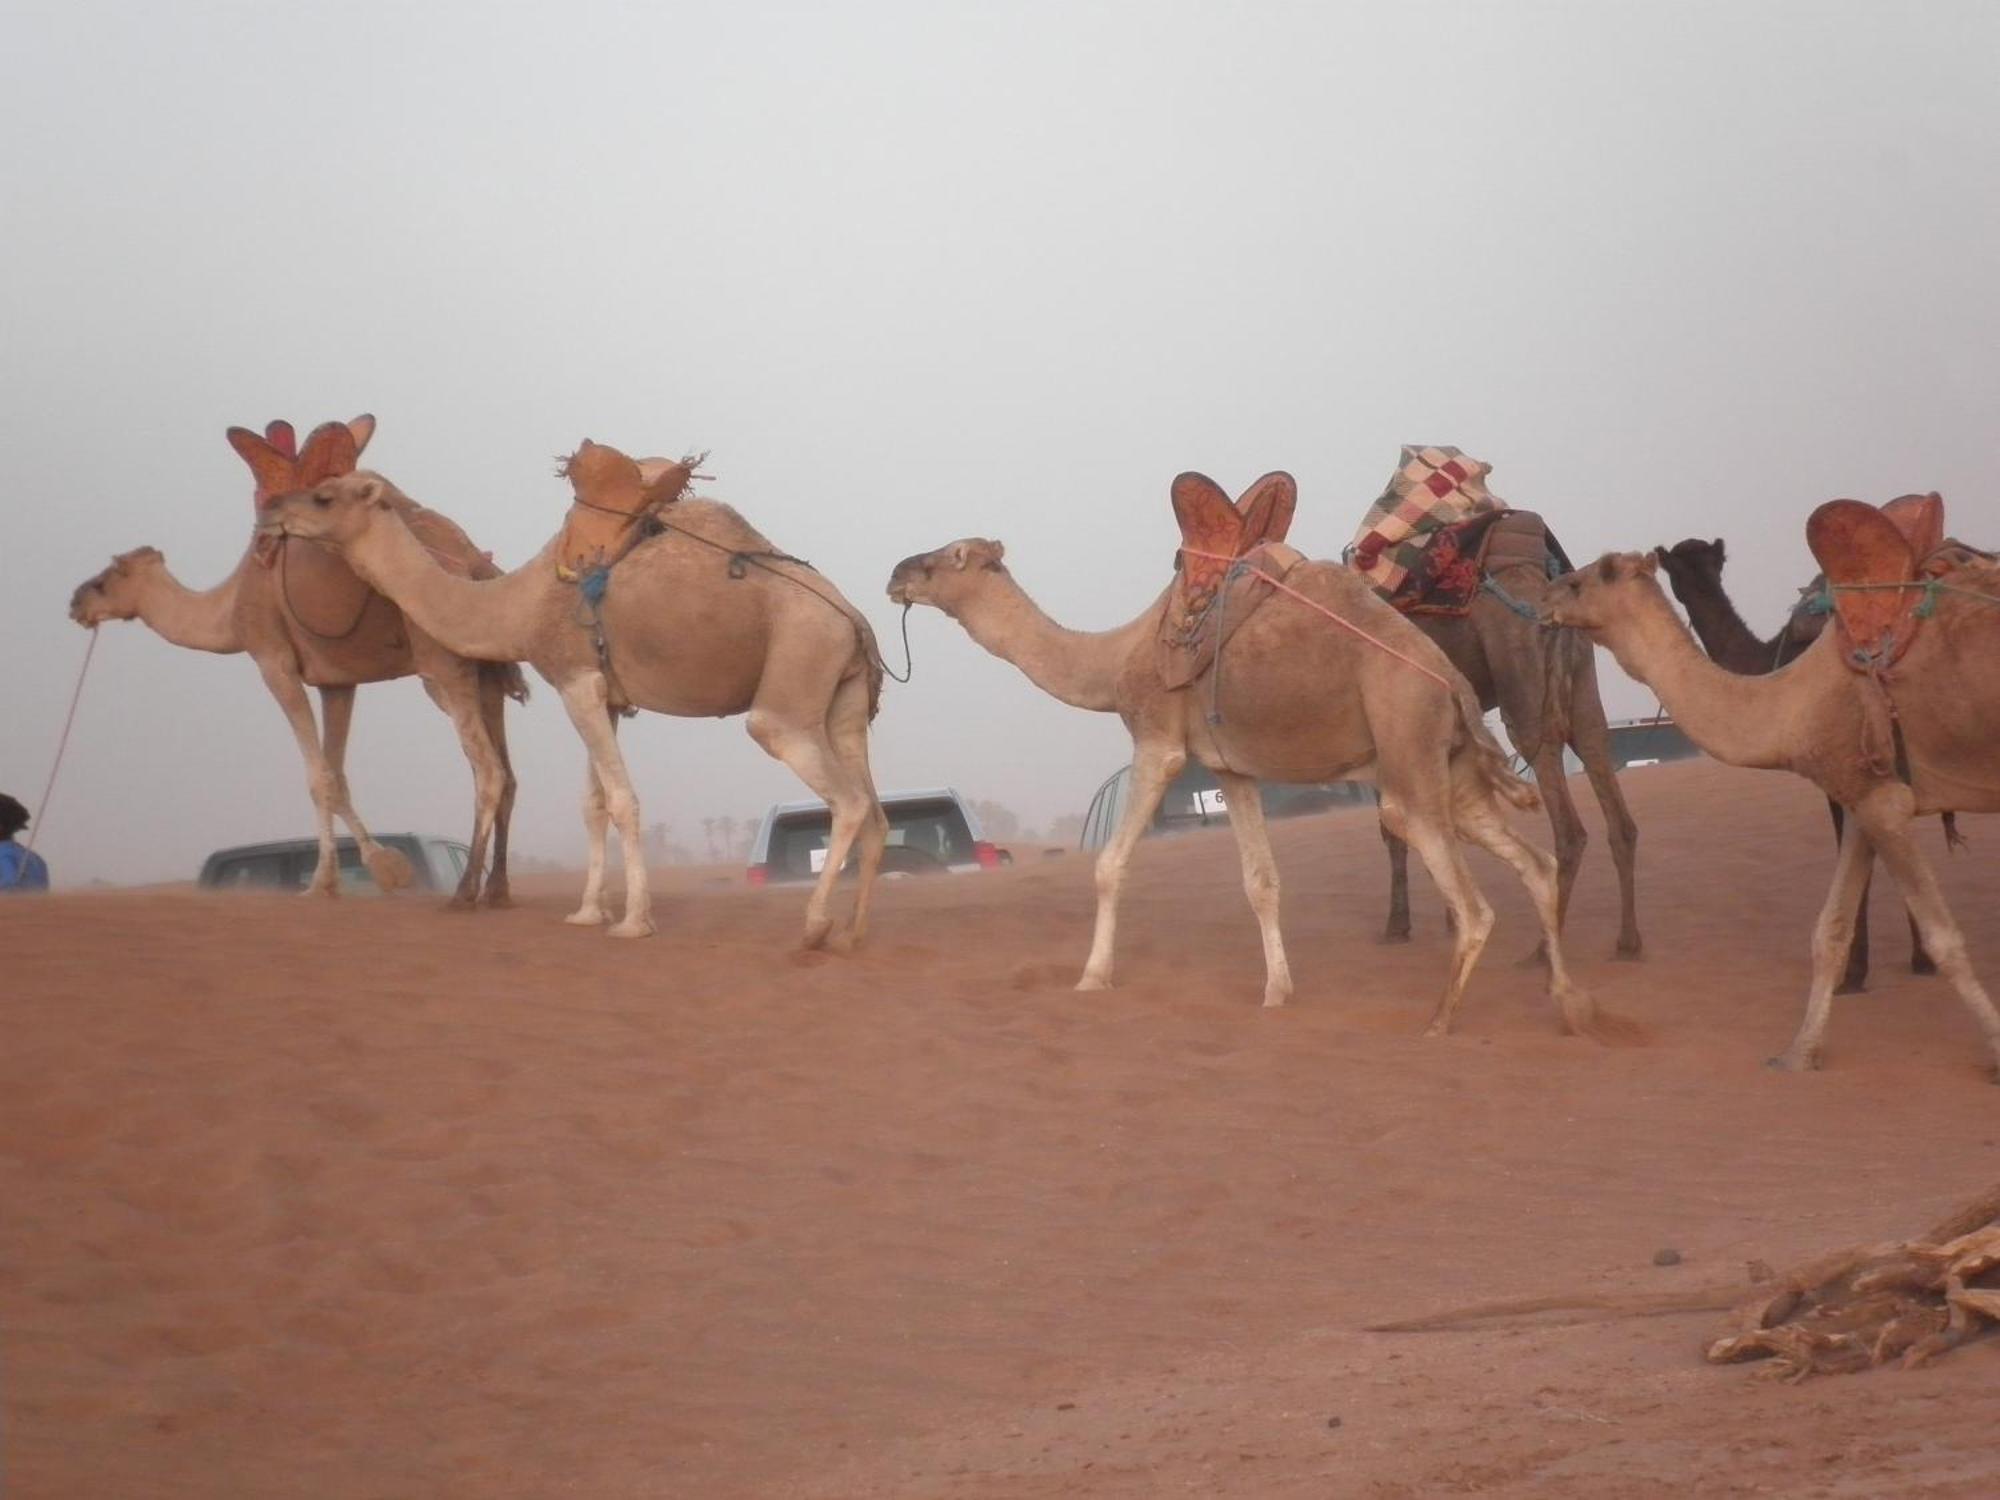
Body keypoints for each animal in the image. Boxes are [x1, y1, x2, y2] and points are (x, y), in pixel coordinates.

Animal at [68, 418, 524, 904]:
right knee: (507, 774)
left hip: (441, 664)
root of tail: (476, 563)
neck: (230, 606)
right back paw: (496, 889)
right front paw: (379, 870)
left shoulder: (274, 662)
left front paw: (336, 880)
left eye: (104, 580)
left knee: (487, 769)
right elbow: (337, 773)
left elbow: (318, 778)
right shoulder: (337, 682)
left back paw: (467, 892)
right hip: (485, 670)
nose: (76, 603)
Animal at [262, 446, 888, 956]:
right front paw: (588, 912)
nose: (271, 512)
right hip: (845, 696)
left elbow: (622, 799)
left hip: (794, 667)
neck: (519, 605)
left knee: (841, 794)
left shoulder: (576, 679)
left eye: (324, 496)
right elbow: (593, 804)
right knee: (875, 809)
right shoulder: (603, 695)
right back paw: (854, 933)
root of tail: (855, 622)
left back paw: (814, 927)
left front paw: (634, 922)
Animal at [888, 500, 1592, 1040]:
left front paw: (1091, 977)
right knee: (1535, 864)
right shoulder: (1231, 768)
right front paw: (1277, 991)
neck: (1116, 657)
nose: (896, 572)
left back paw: (1441, 1019)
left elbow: (1110, 865)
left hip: (1407, 747)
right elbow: (1262, 880)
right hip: (1454, 768)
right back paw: (1567, 1004)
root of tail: (1451, 686)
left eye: (950, 557)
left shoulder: (1159, 742)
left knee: (1470, 902)